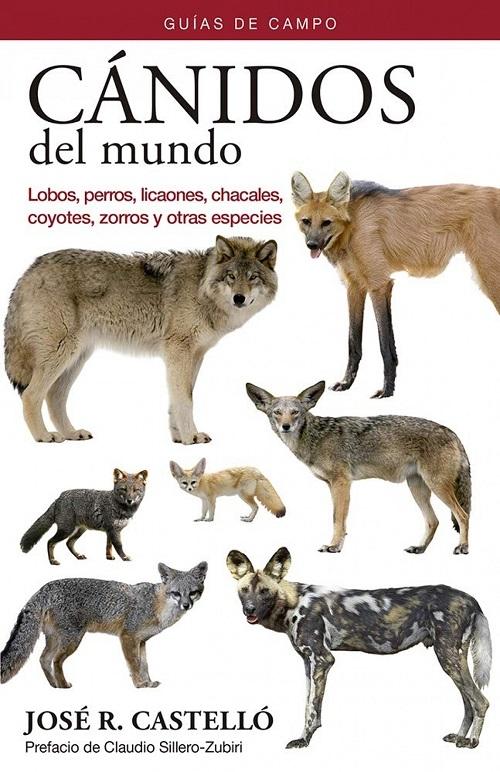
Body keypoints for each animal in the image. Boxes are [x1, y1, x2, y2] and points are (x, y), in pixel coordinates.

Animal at [1, 560, 207, 688]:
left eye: (193, 592)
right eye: (176, 593)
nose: (186, 605)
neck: (157, 605)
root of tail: (45, 587)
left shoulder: (141, 641)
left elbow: (145, 665)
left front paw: (148, 682)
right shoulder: (127, 637)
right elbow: (134, 664)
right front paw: (140, 685)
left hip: (56, 638)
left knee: (44, 659)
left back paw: (54, 685)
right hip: (73, 639)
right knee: (56, 660)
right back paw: (63, 685)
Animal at [4, 235, 278, 444]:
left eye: (252, 277)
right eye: (231, 276)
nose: (239, 298)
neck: (201, 289)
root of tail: (29, 269)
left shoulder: (195, 356)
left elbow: (179, 399)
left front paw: (179, 438)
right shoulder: (178, 351)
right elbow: (185, 400)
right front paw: (192, 437)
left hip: (75, 358)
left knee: (54, 397)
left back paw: (71, 433)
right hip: (61, 353)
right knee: (31, 395)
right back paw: (44, 436)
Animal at [227, 547, 491, 749]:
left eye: (265, 591)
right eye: (244, 590)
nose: (249, 610)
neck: (293, 602)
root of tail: (471, 599)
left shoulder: (322, 660)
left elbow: (311, 709)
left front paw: (304, 740)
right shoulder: (308, 662)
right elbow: (308, 704)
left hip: (447, 656)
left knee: (481, 701)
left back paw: (472, 742)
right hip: (453, 658)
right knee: (468, 702)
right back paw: (459, 737)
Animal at [246, 380, 471, 554]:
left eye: (295, 412)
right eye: (277, 413)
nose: (286, 426)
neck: (315, 438)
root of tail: (452, 432)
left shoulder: (342, 482)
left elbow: (338, 518)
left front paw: (334, 546)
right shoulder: (332, 485)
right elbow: (339, 519)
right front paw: (337, 544)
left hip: (436, 486)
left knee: (463, 515)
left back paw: (462, 547)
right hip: (417, 489)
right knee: (434, 521)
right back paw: (420, 548)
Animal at [291, 171, 500, 397]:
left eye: (326, 222)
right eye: (306, 221)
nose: (312, 245)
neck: (352, 225)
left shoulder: (379, 284)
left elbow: (385, 345)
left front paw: (386, 391)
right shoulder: (354, 286)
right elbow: (354, 341)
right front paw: (346, 383)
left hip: (489, 276)